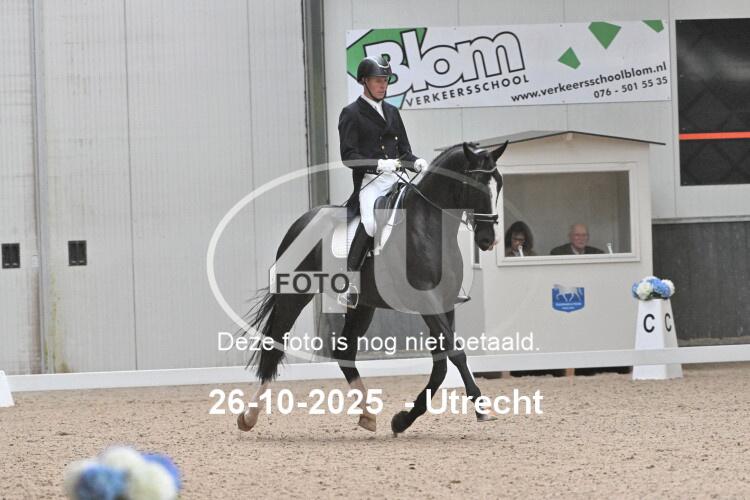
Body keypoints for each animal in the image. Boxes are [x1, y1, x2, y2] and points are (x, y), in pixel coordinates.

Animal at [237, 140, 507, 435]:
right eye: (475, 184)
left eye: (499, 183)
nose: (488, 240)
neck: (428, 226)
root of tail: (302, 221)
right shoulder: (427, 301)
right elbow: (456, 354)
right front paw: (482, 407)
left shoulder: (444, 304)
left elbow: (441, 366)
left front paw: (402, 419)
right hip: (293, 296)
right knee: (273, 347)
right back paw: (249, 416)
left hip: (362, 305)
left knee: (344, 352)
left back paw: (367, 413)